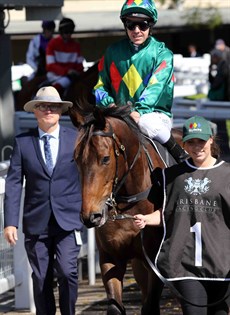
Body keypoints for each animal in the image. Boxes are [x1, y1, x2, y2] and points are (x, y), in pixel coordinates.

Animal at [69, 103, 168, 314]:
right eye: (76, 159)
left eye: (105, 158)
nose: (91, 216)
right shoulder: (111, 257)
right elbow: (115, 306)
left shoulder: (155, 265)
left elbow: (150, 306)